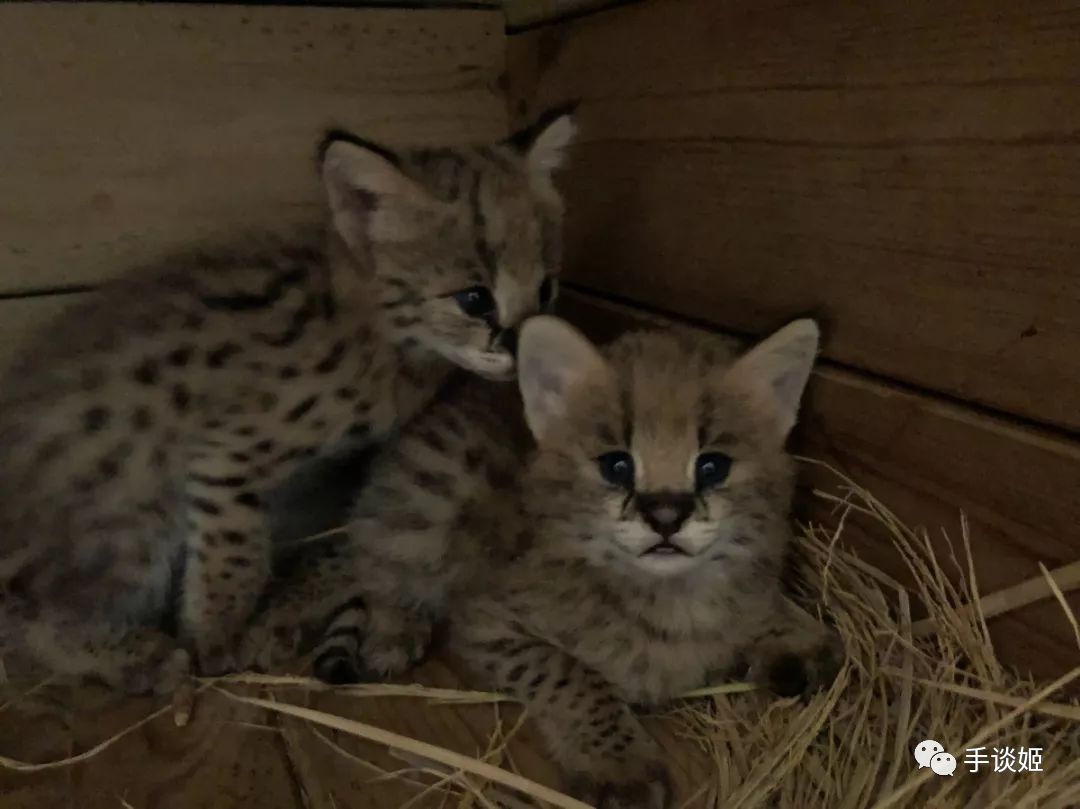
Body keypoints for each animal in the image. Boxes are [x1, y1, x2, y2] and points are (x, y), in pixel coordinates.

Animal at [0, 107, 578, 691]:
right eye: (474, 299)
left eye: (546, 289)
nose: (526, 349)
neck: (377, 331)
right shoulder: (225, 456)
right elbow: (234, 554)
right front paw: (213, 639)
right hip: (135, 513)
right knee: (27, 618)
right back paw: (136, 656)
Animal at [247, 315, 842, 803]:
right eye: (616, 466)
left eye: (713, 466)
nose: (666, 515)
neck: (670, 596)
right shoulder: (486, 620)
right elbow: (569, 674)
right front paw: (617, 761)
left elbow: (759, 601)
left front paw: (791, 630)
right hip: (431, 503)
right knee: (360, 558)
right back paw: (355, 625)